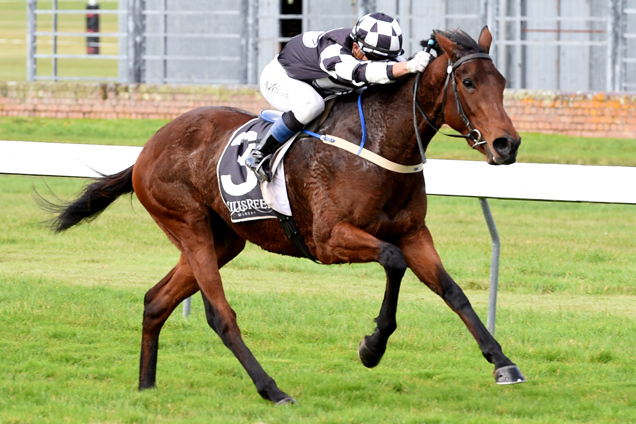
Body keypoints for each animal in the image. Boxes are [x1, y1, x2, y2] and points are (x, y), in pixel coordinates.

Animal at [48, 27, 528, 404]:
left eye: (503, 82)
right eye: (468, 81)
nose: (507, 144)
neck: (378, 143)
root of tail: (146, 150)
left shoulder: (413, 232)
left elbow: (453, 292)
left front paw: (503, 362)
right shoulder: (330, 238)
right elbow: (393, 261)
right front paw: (371, 347)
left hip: (224, 238)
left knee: (156, 300)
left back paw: (146, 387)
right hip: (188, 225)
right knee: (219, 315)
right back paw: (272, 390)